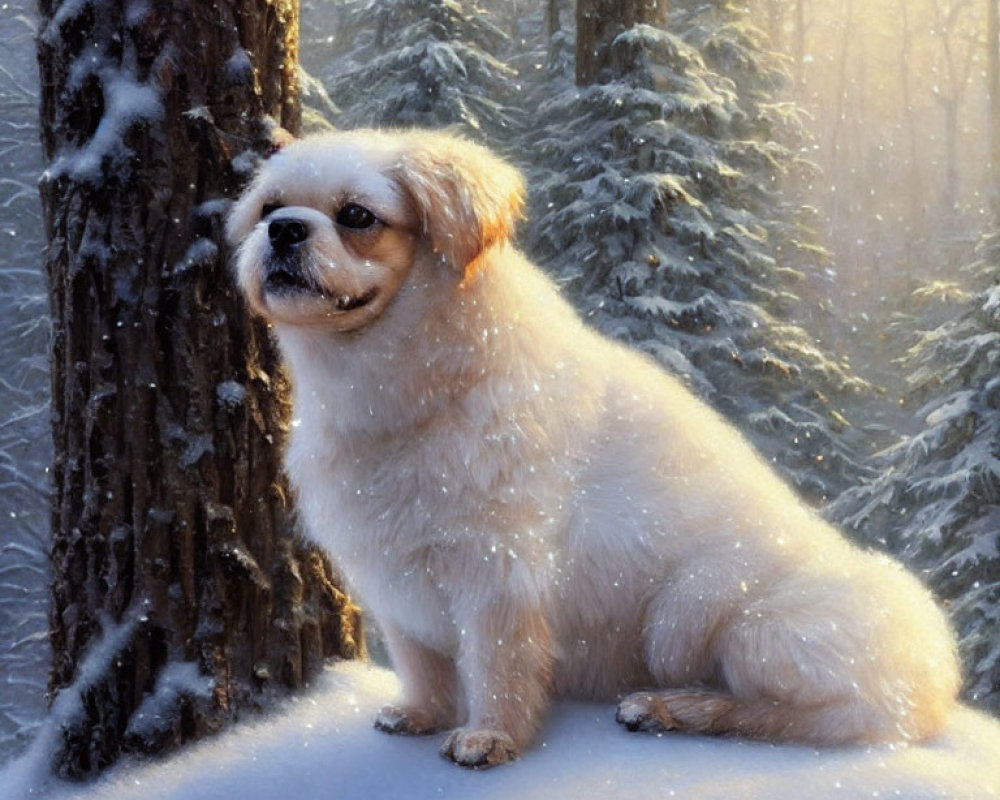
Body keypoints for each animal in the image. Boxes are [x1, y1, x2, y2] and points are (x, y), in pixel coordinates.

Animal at [227, 130, 960, 768]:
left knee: (815, 719)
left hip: (734, 621)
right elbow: (422, 662)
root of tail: (938, 676)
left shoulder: (500, 572)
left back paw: (676, 708)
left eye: (357, 216)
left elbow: (498, 663)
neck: (412, 392)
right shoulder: (390, 572)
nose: (284, 228)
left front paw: (490, 738)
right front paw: (421, 715)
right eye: (268, 207)